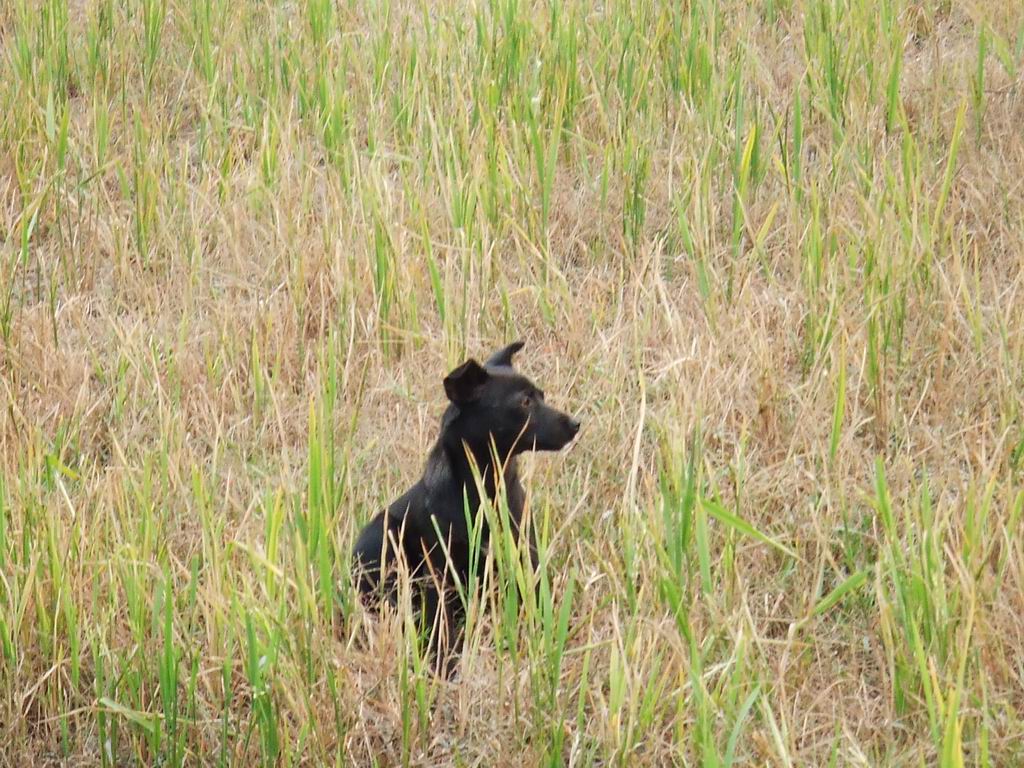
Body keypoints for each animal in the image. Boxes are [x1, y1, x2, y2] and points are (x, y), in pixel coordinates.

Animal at [350, 346, 577, 671]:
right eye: (525, 402)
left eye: (542, 396)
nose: (575, 424)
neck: (485, 489)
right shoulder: (440, 574)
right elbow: (441, 624)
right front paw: (444, 662)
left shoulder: (524, 557)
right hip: (381, 537)